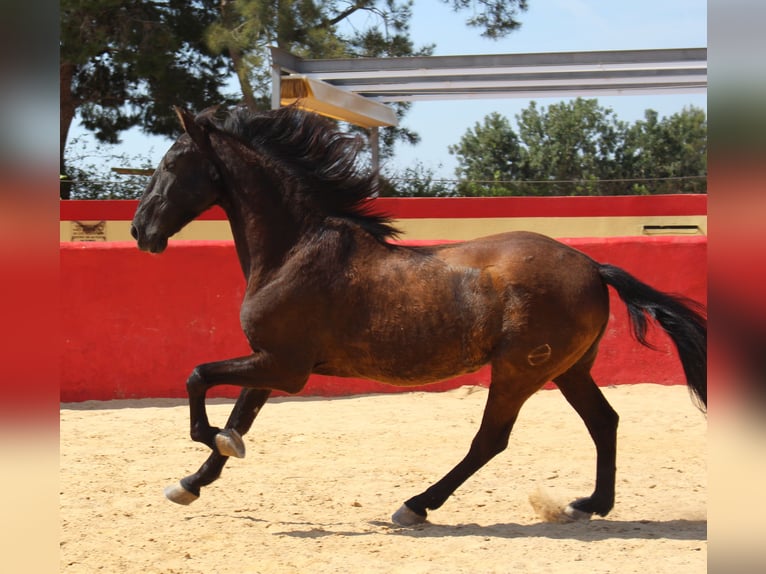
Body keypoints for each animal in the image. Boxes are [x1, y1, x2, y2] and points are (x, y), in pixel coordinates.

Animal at [130, 105, 706, 526]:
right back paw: (590, 504)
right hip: (568, 369)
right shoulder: (270, 361)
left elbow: (198, 379)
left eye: (169, 164)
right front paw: (188, 484)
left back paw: (415, 505)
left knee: (491, 440)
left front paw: (210, 443)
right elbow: (237, 416)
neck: (294, 250)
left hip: (520, 370)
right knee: (603, 422)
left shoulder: (285, 367)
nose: (140, 230)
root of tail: (592, 264)